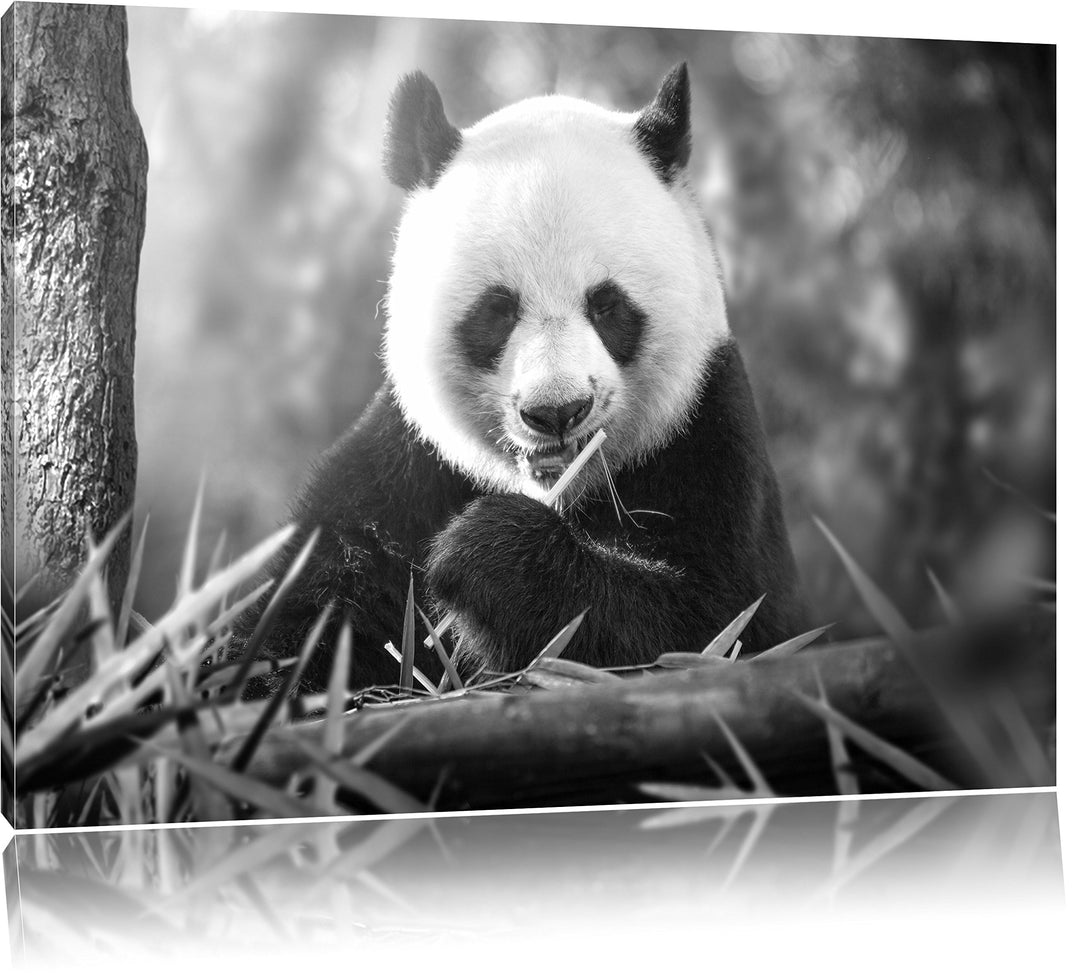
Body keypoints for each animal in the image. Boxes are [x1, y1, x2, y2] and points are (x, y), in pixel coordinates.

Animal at [237, 63, 806, 694]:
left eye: (607, 306)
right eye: (497, 311)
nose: (557, 411)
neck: (560, 491)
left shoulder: (706, 438)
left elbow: (711, 628)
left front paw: (481, 552)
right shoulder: (406, 465)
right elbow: (307, 605)